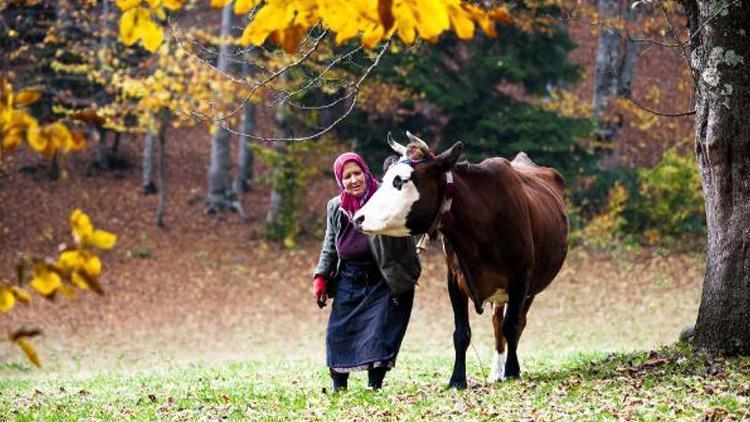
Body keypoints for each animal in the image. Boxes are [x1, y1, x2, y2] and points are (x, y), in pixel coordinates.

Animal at [354, 135, 568, 390]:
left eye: (401, 181)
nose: (358, 218)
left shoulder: (521, 277)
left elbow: (512, 326)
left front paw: (513, 371)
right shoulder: (455, 279)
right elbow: (461, 333)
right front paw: (457, 379)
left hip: (531, 287)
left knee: (516, 323)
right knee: (497, 323)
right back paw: (496, 372)